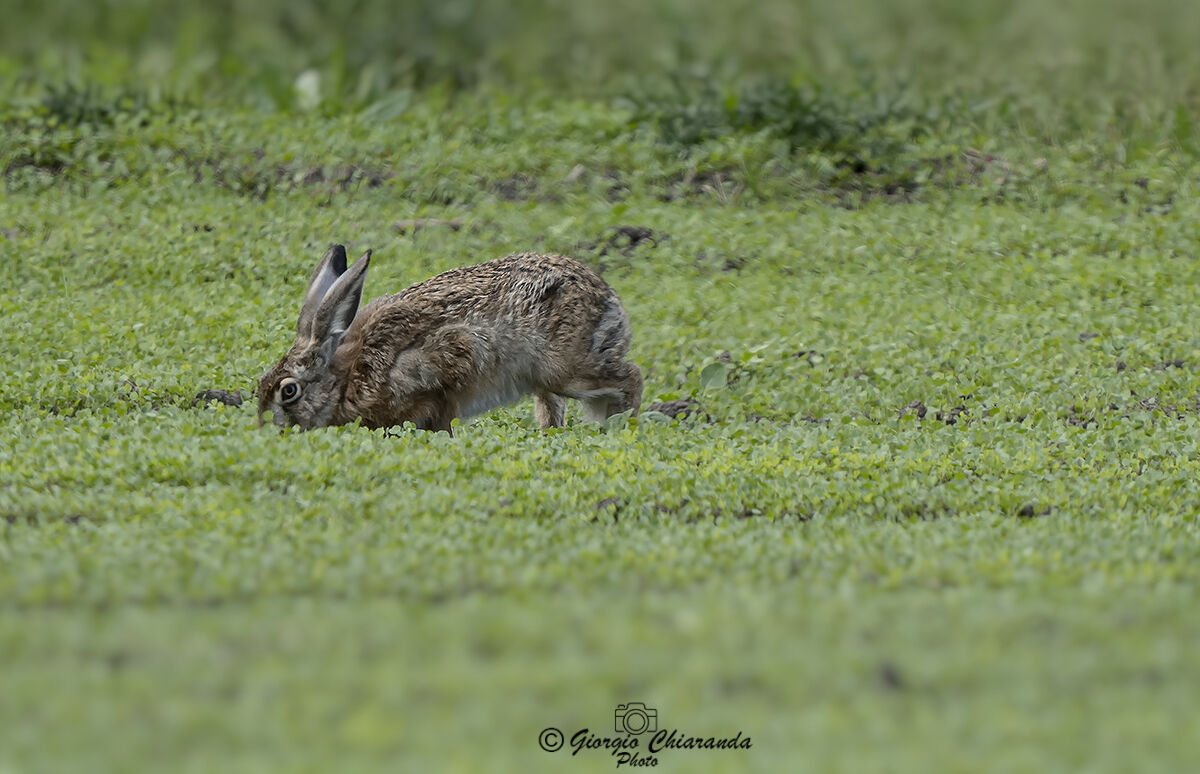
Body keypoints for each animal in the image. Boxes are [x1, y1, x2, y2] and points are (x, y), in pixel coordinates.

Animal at [257, 244, 643, 433]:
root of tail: (608, 298)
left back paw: (621, 426)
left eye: (288, 391)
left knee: (631, 376)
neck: (345, 378)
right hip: (545, 385)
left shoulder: (445, 377)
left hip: (564, 368)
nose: (266, 427)